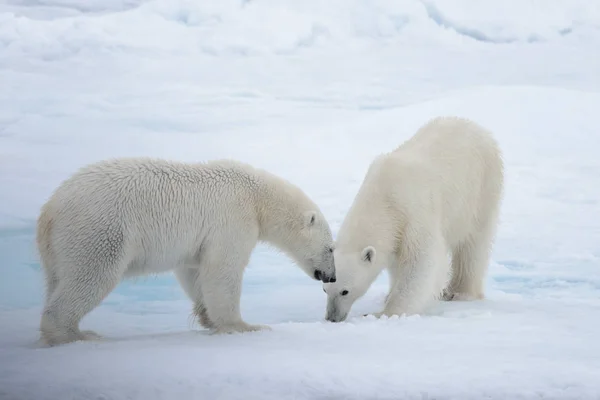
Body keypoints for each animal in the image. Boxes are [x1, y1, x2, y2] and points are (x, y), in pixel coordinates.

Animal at [36, 158, 338, 346]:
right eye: (331, 248)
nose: (331, 277)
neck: (257, 196)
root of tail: (49, 210)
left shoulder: (200, 240)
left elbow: (193, 271)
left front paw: (207, 317)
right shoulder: (233, 218)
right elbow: (222, 270)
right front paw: (245, 325)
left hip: (59, 248)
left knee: (57, 279)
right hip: (100, 231)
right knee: (91, 276)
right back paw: (76, 334)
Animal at [324, 115, 502, 322]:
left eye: (345, 291)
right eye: (325, 289)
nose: (332, 318)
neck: (382, 196)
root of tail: (479, 129)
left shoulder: (413, 212)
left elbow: (421, 261)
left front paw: (384, 312)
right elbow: (397, 262)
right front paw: (388, 295)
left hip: (480, 189)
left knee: (473, 244)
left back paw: (459, 292)